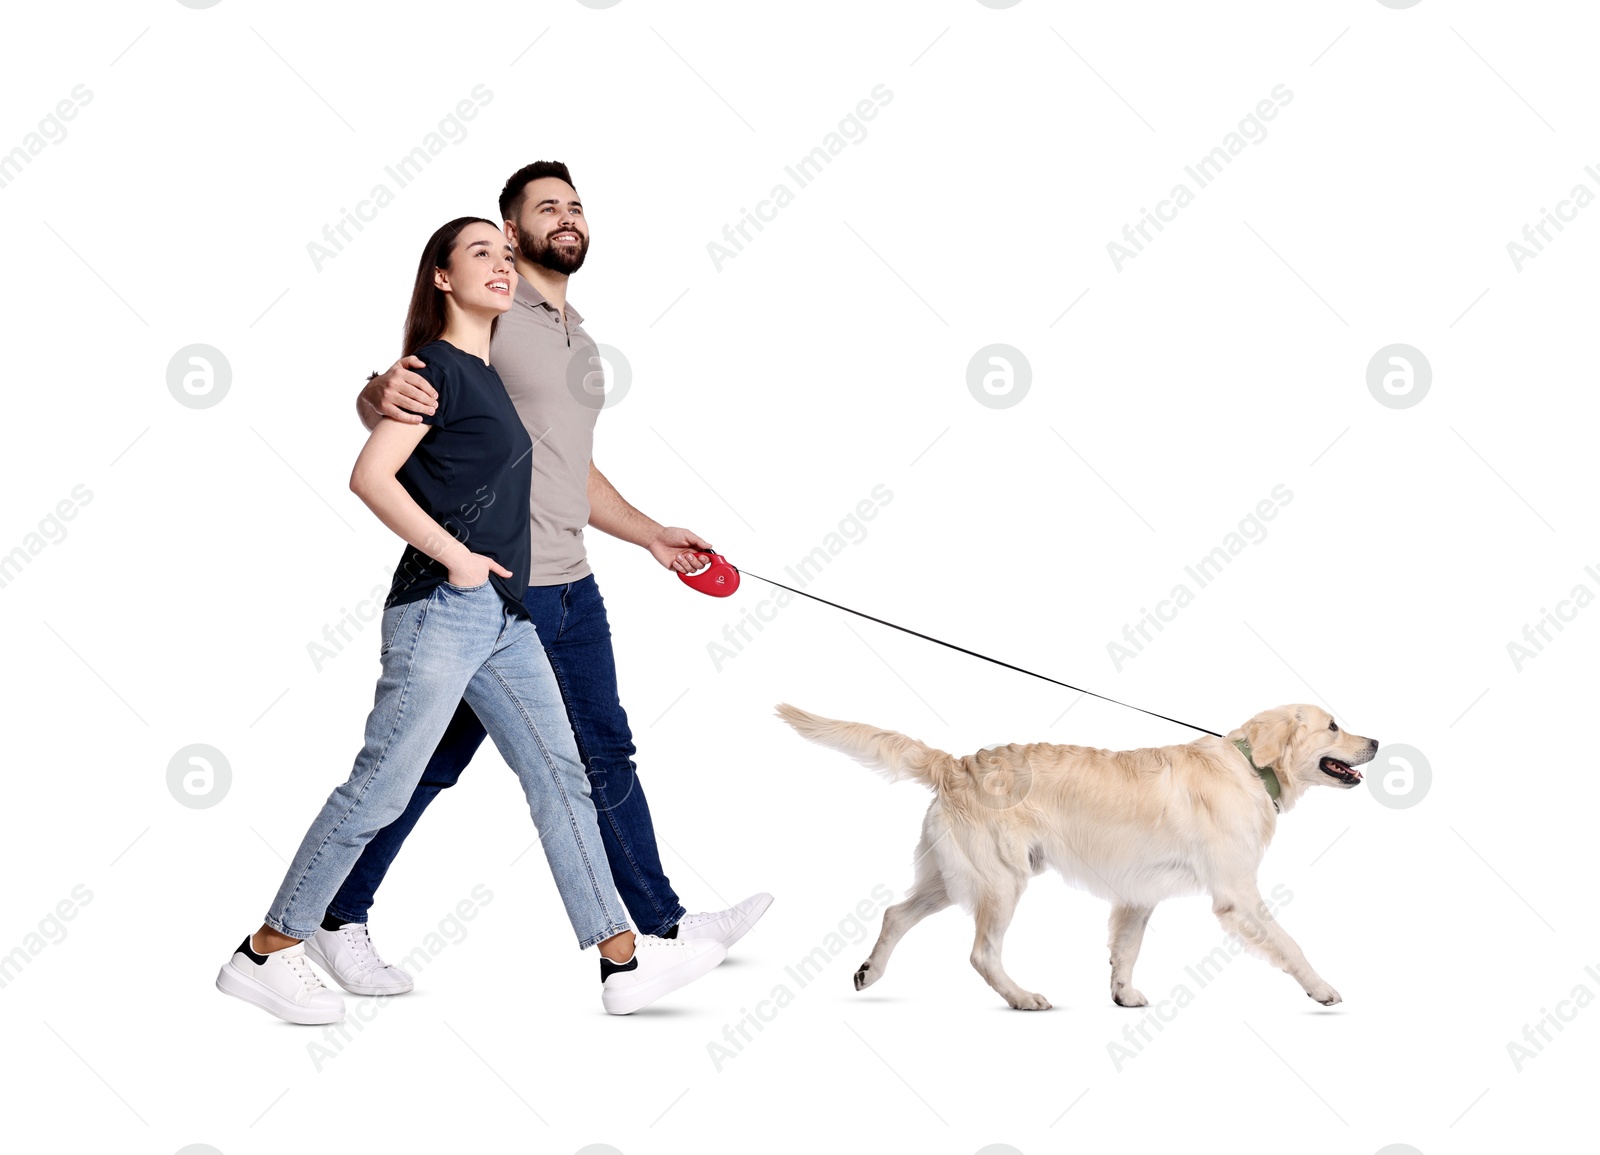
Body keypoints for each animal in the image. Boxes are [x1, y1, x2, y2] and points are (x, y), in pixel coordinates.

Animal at [774, 697, 1376, 1004]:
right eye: (1334, 726)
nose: (1375, 741)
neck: (1251, 766)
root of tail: (958, 763)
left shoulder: (1137, 895)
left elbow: (1126, 950)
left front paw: (1123, 993)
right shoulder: (1238, 894)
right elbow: (1290, 944)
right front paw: (1322, 988)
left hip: (952, 876)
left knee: (894, 913)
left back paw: (869, 973)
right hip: (1001, 880)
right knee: (980, 953)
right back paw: (1022, 997)